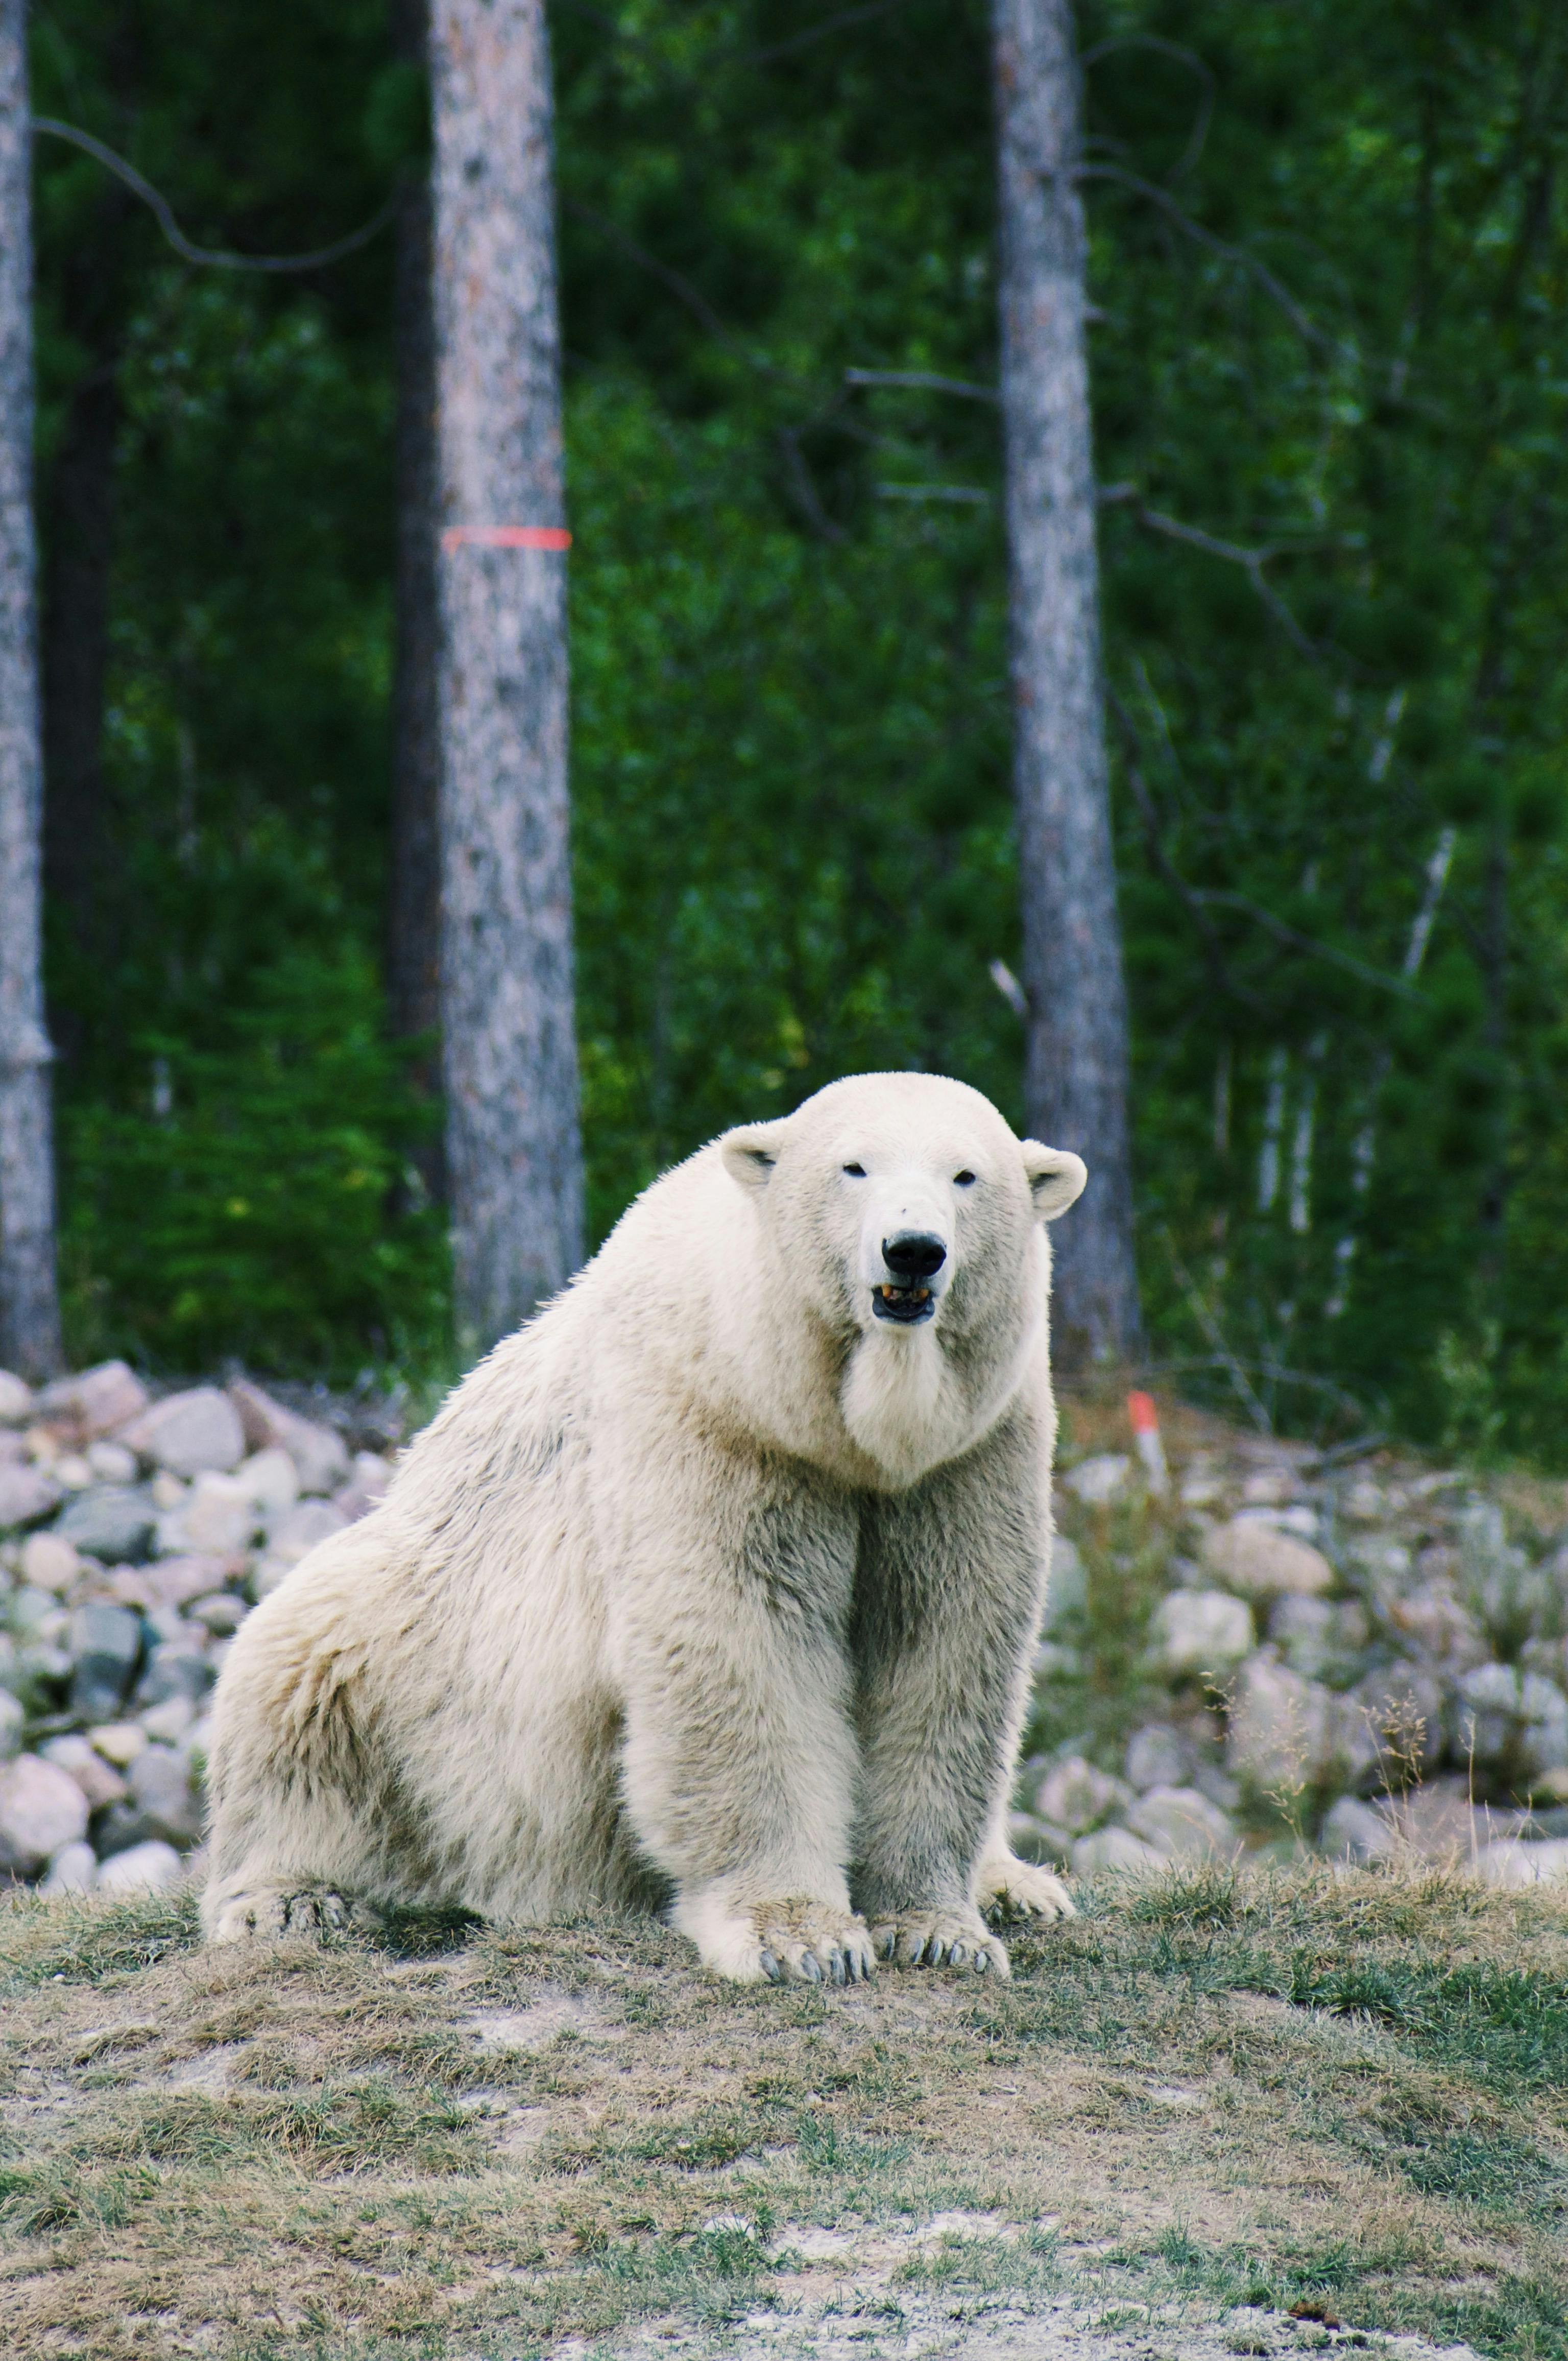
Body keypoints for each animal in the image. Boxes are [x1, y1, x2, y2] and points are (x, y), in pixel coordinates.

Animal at [205, 1081, 1091, 1983]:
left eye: (965, 1175)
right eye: (854, 1166)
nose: (911, 1250)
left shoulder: (970, 1453)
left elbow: (944, 1642)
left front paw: (938, 1927)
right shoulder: (712, 1423)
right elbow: (740, 1638)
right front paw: (798, 1937)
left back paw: (1020, 1886)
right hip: (405, 1636)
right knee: (300, 1679)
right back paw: (293, 1894)